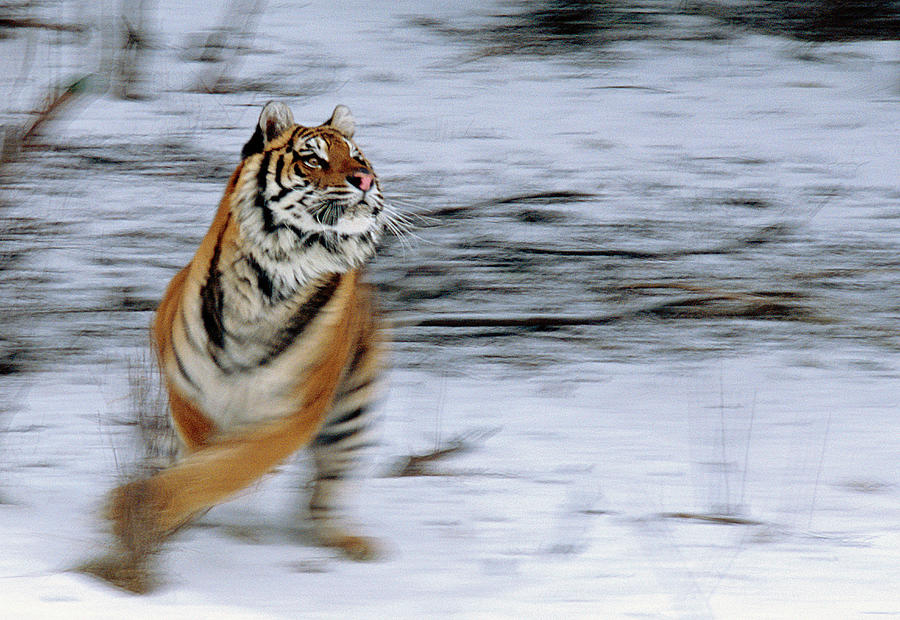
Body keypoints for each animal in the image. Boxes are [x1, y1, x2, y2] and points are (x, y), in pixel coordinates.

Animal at [89, 103, 394, 596]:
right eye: (313, 159)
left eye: (358, 157)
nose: (364, 180)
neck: (270, 284)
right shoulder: (188, 391)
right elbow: (202, 456)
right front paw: (141, 511)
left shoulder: (293, 412)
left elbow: (225, 467)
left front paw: (137, 507)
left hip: (353, 408)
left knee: (325, 491)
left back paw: (346, 541)